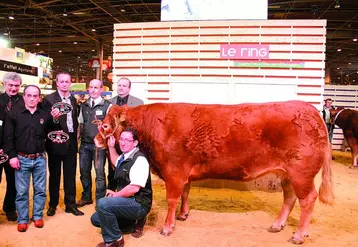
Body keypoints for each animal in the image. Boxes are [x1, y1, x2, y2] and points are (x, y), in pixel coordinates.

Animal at [94, 101, 332, 245]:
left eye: (105, 126)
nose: (96, 141)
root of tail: (310, 109)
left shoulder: (174, 172)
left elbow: (172, 199)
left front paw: (168, 227)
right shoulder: (184, 173)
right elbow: (186, 193)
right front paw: (183, 215)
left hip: (301, 173)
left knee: (308, 199)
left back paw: (299, 235)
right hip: (288, 175)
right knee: (290, 197)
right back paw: (278, 225)